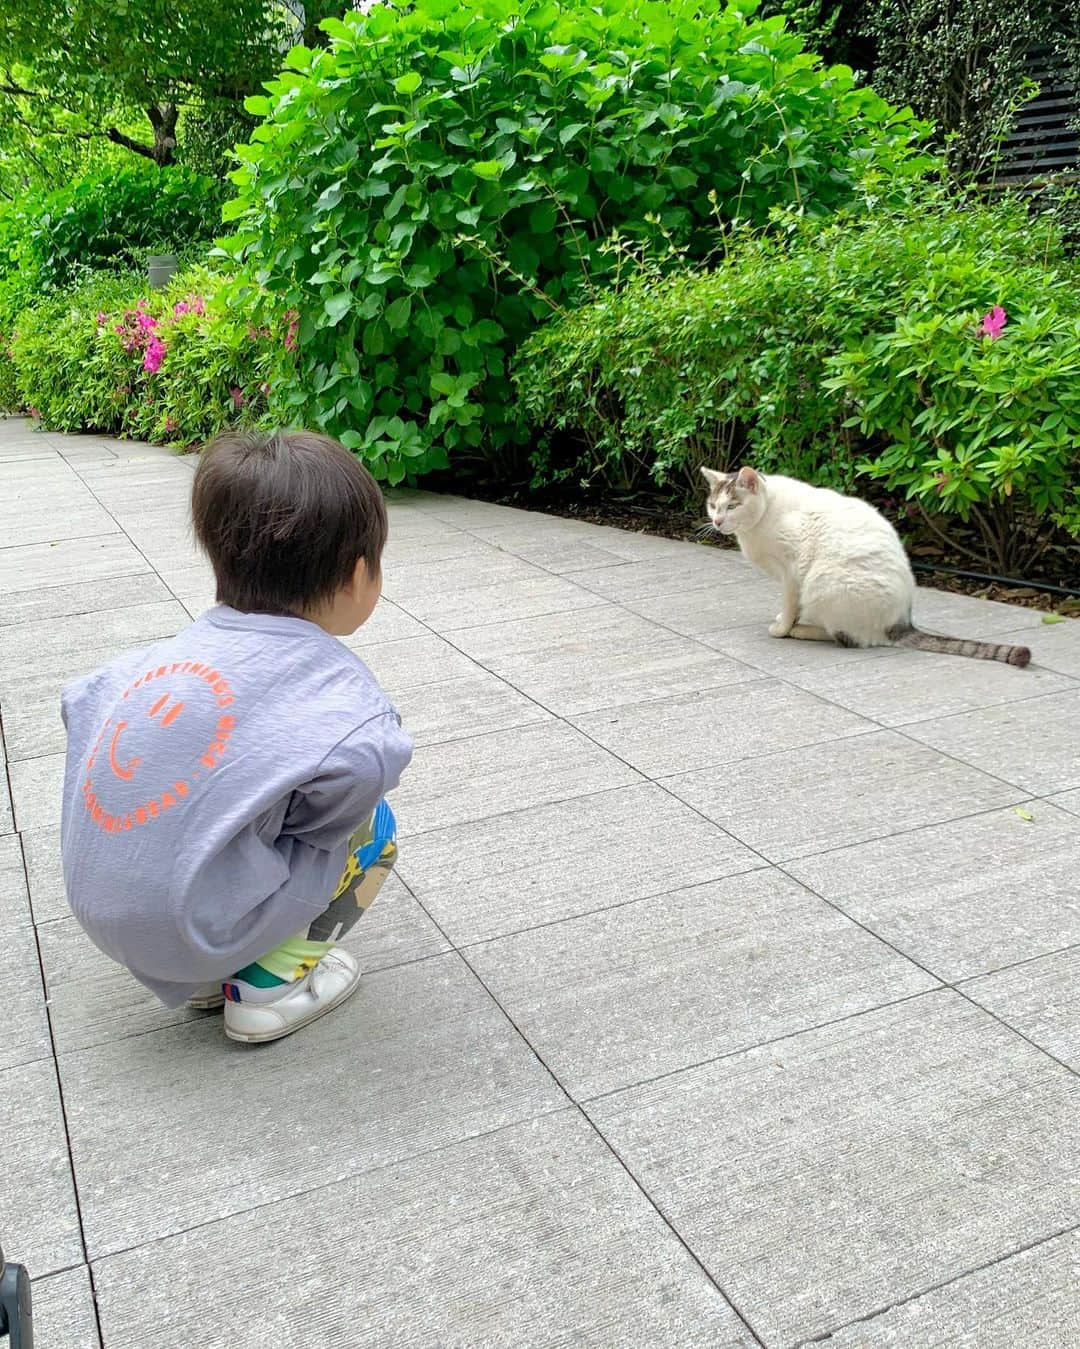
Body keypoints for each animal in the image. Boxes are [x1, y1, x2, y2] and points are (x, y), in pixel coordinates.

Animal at [701, 469, 1030, 669]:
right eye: (713, 505)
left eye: (732, 506)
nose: (717, 521)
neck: (764, 514)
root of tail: (902, 622)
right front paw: (786, 619)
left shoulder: (791, 572)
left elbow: (790, 603)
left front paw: (783, 626)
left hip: (823, 583)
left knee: (851, 639)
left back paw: (802, 630)